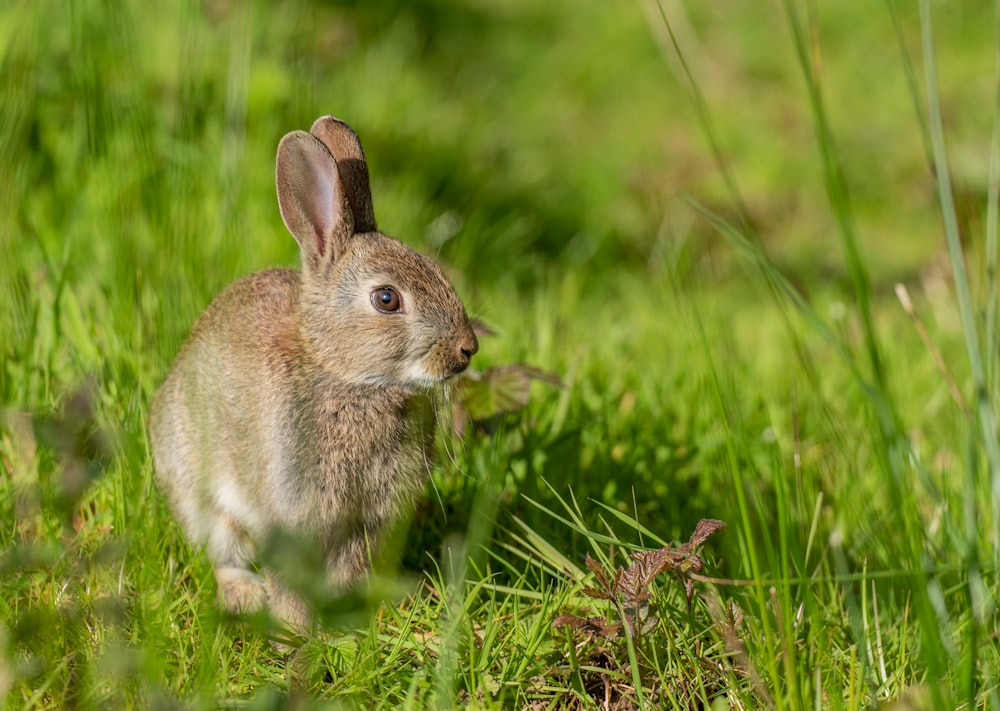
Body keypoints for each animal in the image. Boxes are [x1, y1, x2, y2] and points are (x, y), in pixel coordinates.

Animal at [146, 114, 478, 632]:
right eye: (387, 299)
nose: (467, 349)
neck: (343, 374)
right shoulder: (291, 512)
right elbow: (289, 577)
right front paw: (296, 631)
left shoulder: (370, 519)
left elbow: (349, 566)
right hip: (201, 495)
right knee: (223, 552)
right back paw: (245, 595)